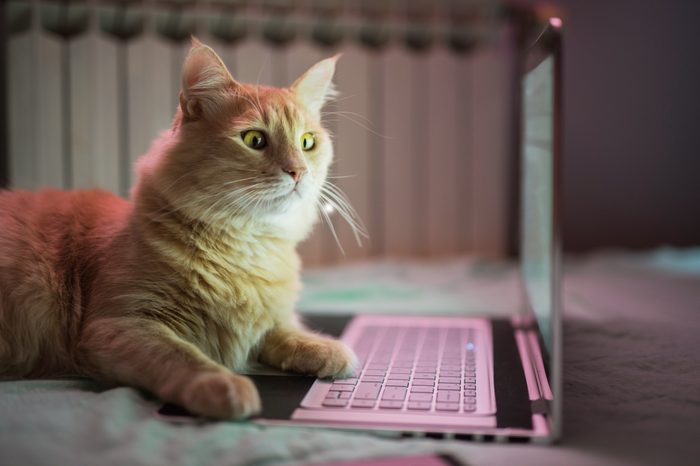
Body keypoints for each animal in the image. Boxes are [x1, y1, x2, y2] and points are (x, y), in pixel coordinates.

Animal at [0, 39, 358, 418]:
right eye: (254, 140)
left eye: (307, 143)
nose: (298, 172)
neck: (245, 245)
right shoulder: (119, 324)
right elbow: (183, 357)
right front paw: (224, 385)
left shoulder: (264, 323)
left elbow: (284, 330)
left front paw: (327, 349)